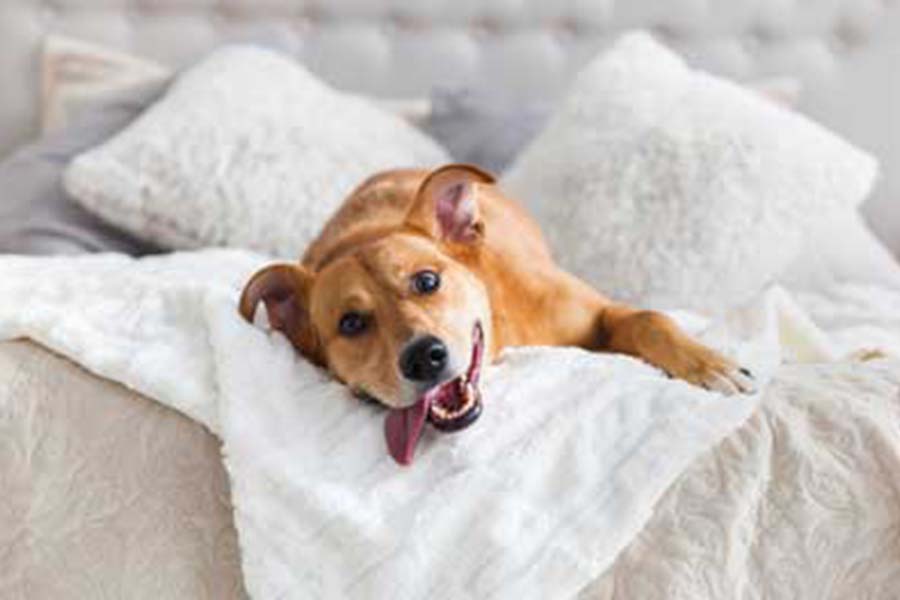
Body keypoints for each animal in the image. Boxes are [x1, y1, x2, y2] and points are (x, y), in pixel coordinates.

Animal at [239, 163, 752, 464]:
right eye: (351, 323)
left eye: (427, 281)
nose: (423, 357)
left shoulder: (601, 313)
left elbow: (650, 319)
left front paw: (709, 365)